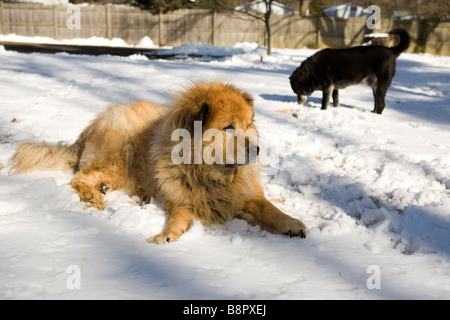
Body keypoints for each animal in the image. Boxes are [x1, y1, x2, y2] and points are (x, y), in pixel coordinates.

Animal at [10, 80, 308, 242]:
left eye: (248, 125)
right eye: (229, 127)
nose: (257, 149)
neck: (210, 174)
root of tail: (89, 128)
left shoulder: (247, 195)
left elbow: (270, 209)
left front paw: (291, 222)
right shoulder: (181, 201)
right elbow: (177, 218)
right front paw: (166, 235)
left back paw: (104, 188)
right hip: (120, 148)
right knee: (79, 177)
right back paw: (92, 194)